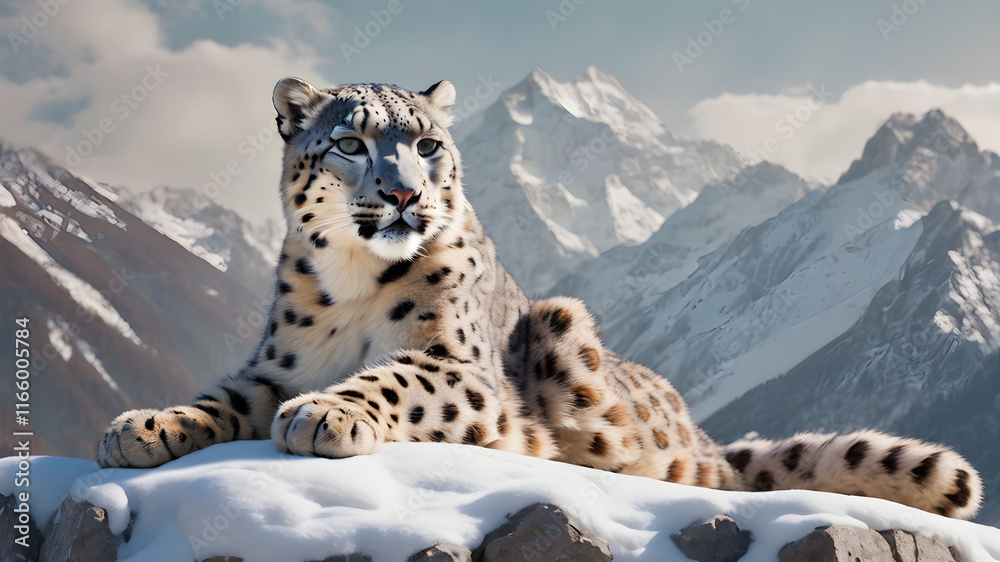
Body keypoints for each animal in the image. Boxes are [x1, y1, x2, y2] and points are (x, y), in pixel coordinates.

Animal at [97, 77, 983, 519]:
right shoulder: (274, 363)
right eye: (348, 142)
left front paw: (326, 413)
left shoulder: (456, 365)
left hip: (567, 331)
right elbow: (219, 398)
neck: (349, 284)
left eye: (428, 143)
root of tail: (701, 431)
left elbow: (392, 376)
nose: (405, 194)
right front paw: (142, 426)